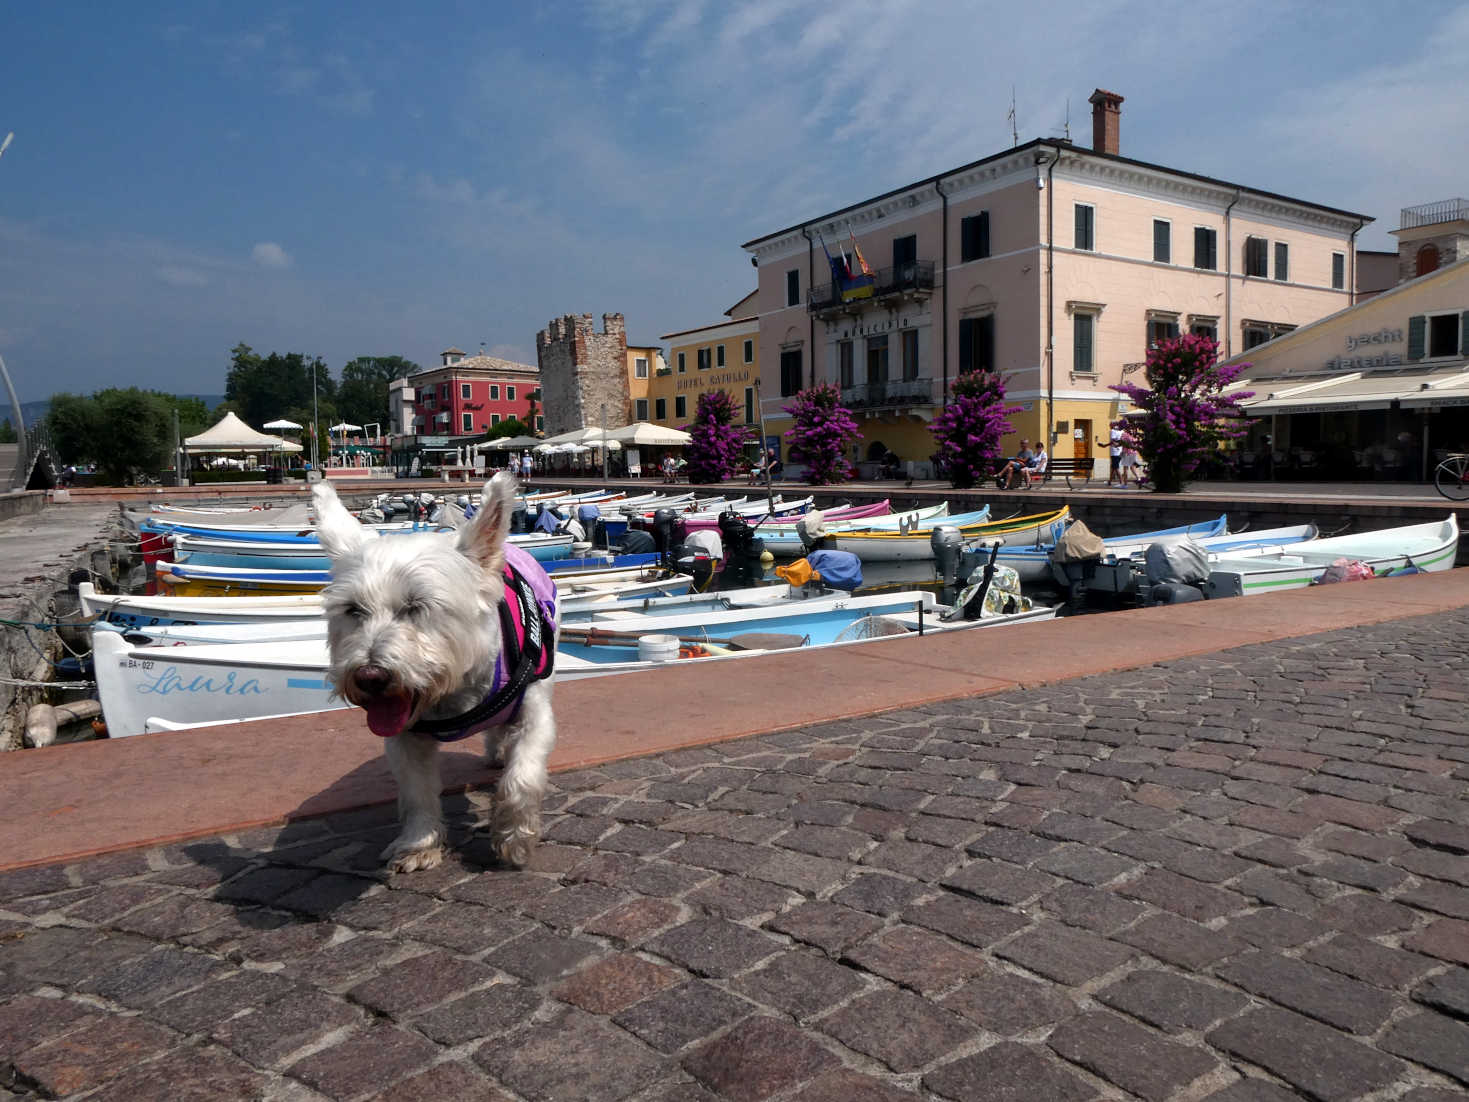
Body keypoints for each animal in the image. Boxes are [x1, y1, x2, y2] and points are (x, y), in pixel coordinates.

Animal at [312, 476, 558, 869]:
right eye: (353, 610)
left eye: (417, 606)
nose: (369, 676)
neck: (454, 694)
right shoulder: (404, 738)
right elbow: (417, 792)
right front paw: (418, 844)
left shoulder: (534, 713)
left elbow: (522, 777)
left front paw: (514, 837)